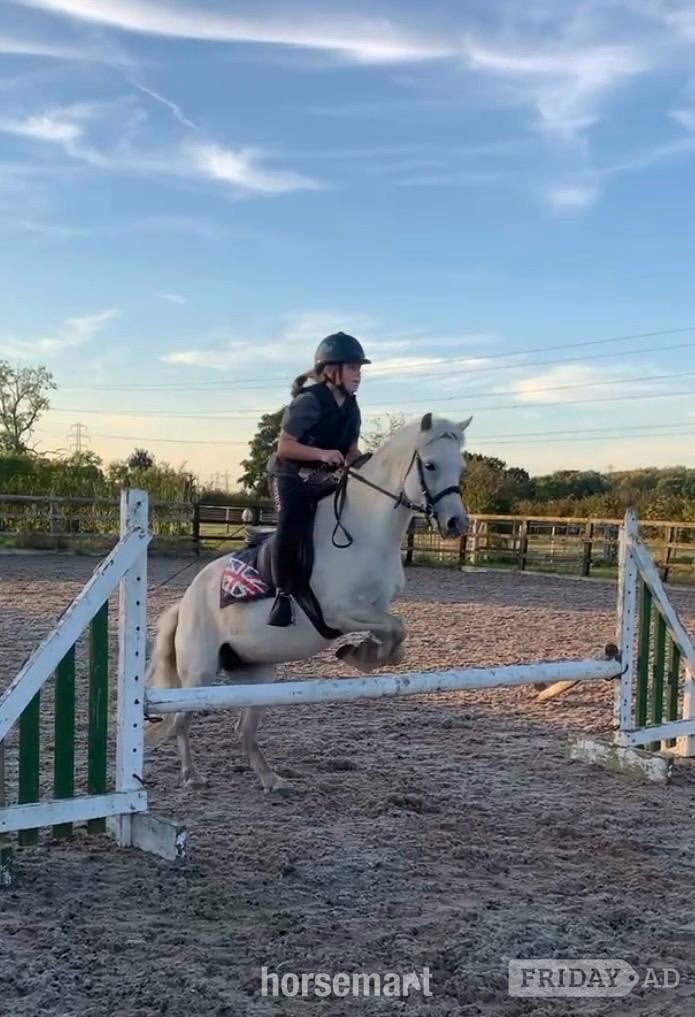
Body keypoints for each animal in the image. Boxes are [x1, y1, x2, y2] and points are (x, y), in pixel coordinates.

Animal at [145, 412, 472, 792]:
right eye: (430, 465)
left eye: (460, 467)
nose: (456, 523)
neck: (367, 531)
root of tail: (184, 604)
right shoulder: (339, 612)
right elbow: (395, 627)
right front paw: (364, 656)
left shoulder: (374, 608)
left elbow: (396, 632)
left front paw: (364, 654)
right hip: (200, 672)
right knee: (181, 719)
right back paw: (192, 775)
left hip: (257, 674)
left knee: (243, 731)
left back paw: (271, 779)